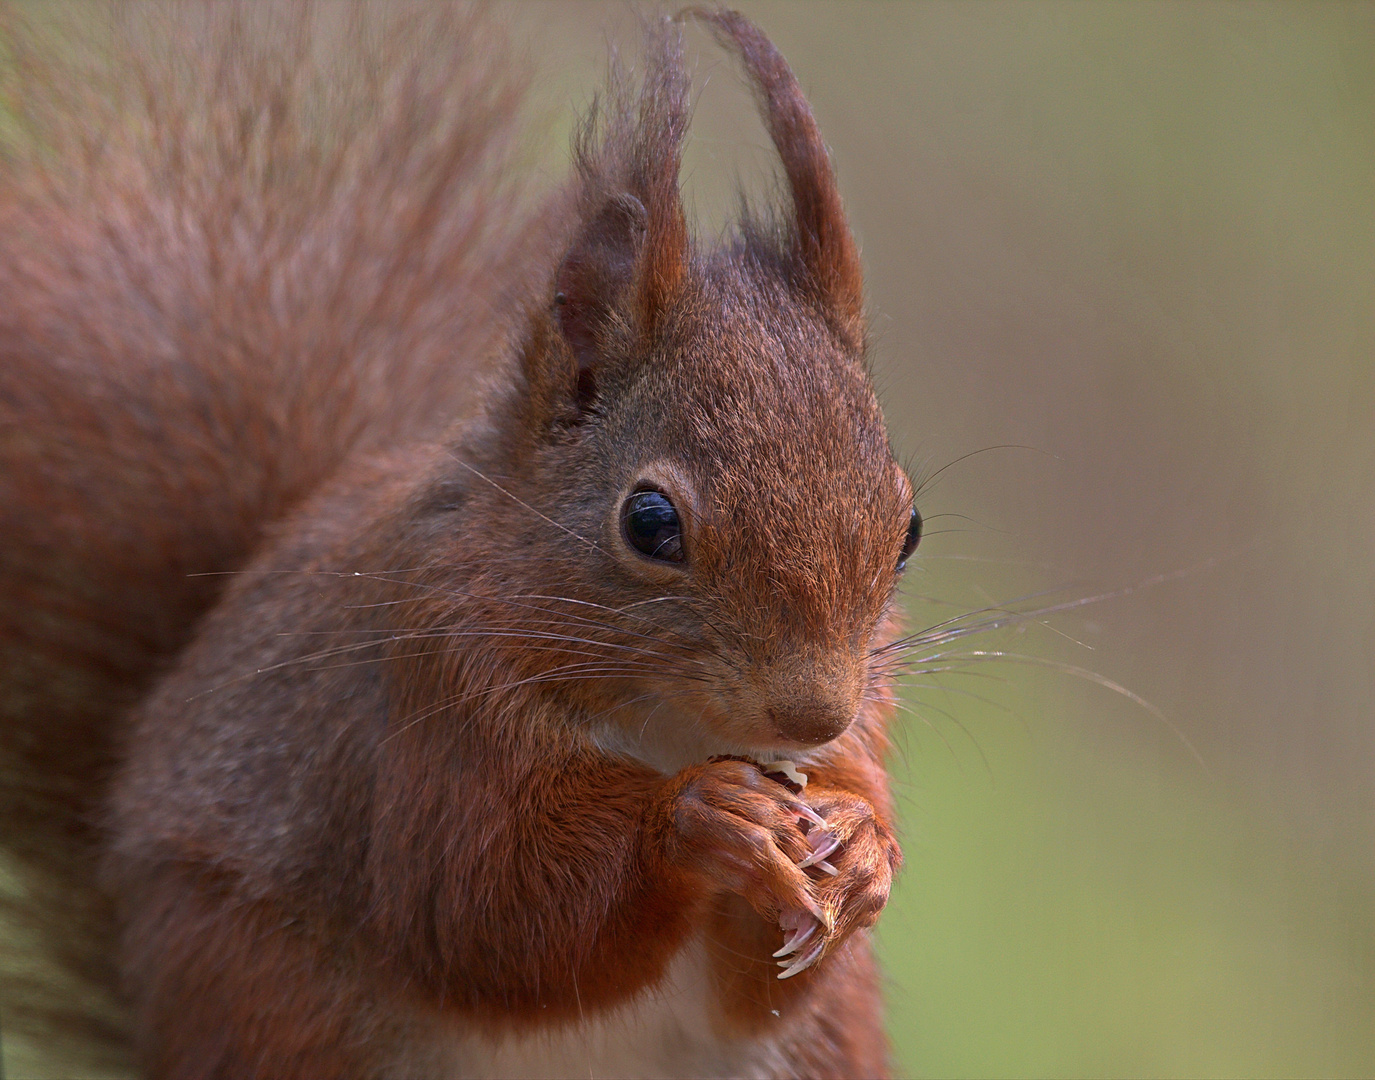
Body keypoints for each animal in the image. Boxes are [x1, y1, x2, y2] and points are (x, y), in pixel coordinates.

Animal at [2, 4, 924, 1073]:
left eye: (908, 526)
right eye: (649, 523)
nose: (812, 713)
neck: (669, 729)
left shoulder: (858, 744)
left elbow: (764, 988)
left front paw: (861, 851)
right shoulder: (434, 696)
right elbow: (485, 910)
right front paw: (698, 819)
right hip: (276, 1005)